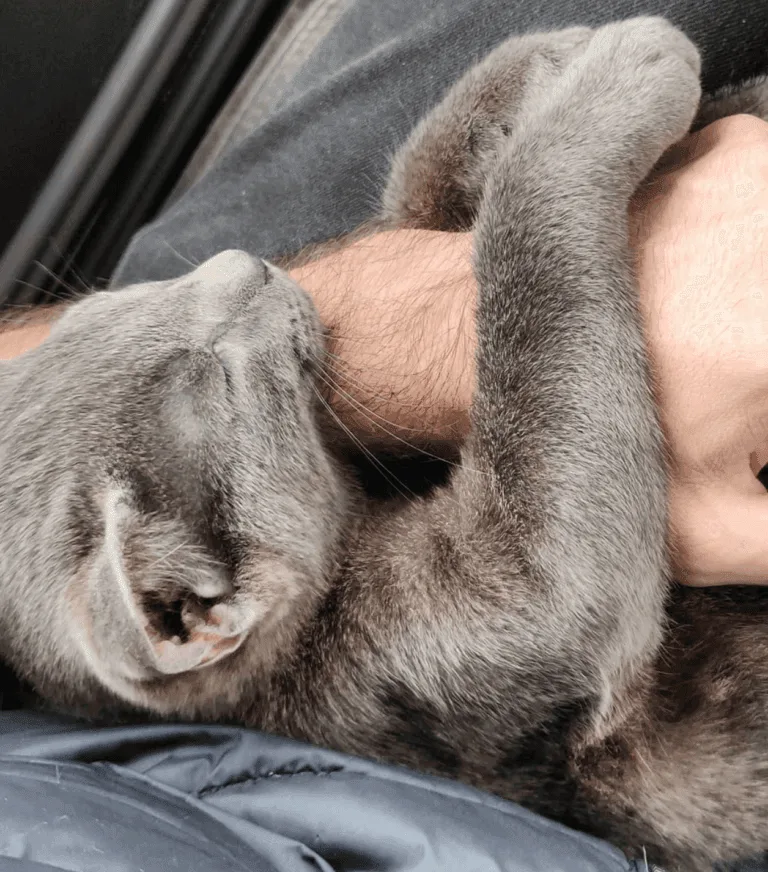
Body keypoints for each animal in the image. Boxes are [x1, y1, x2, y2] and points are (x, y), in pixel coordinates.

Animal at [1, 17, 768, 871]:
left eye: (103, 306)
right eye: (213, 373)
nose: (241, 262)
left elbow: (416, 204)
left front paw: (534, 69)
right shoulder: (430, 646)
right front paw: (613, 79)